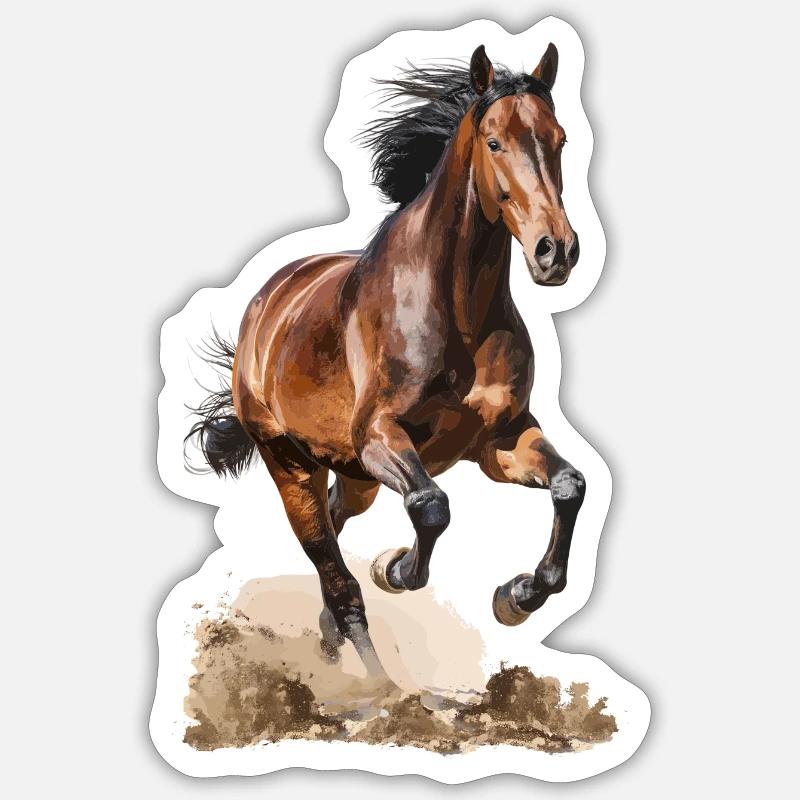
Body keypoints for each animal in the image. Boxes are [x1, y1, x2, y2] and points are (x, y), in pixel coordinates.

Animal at [187, 44, 585, 693]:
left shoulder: (500, 441)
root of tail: (265, 306)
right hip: (292, 465)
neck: (456, 312)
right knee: (337, 575)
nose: (556, 251)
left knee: (336, 526)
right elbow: (431, 506)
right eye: (494, 142)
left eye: (559, 138)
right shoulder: (379, 437)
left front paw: (517, 596)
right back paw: (378, 690)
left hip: (355, 477)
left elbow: (570, 486)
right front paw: (395, 568)